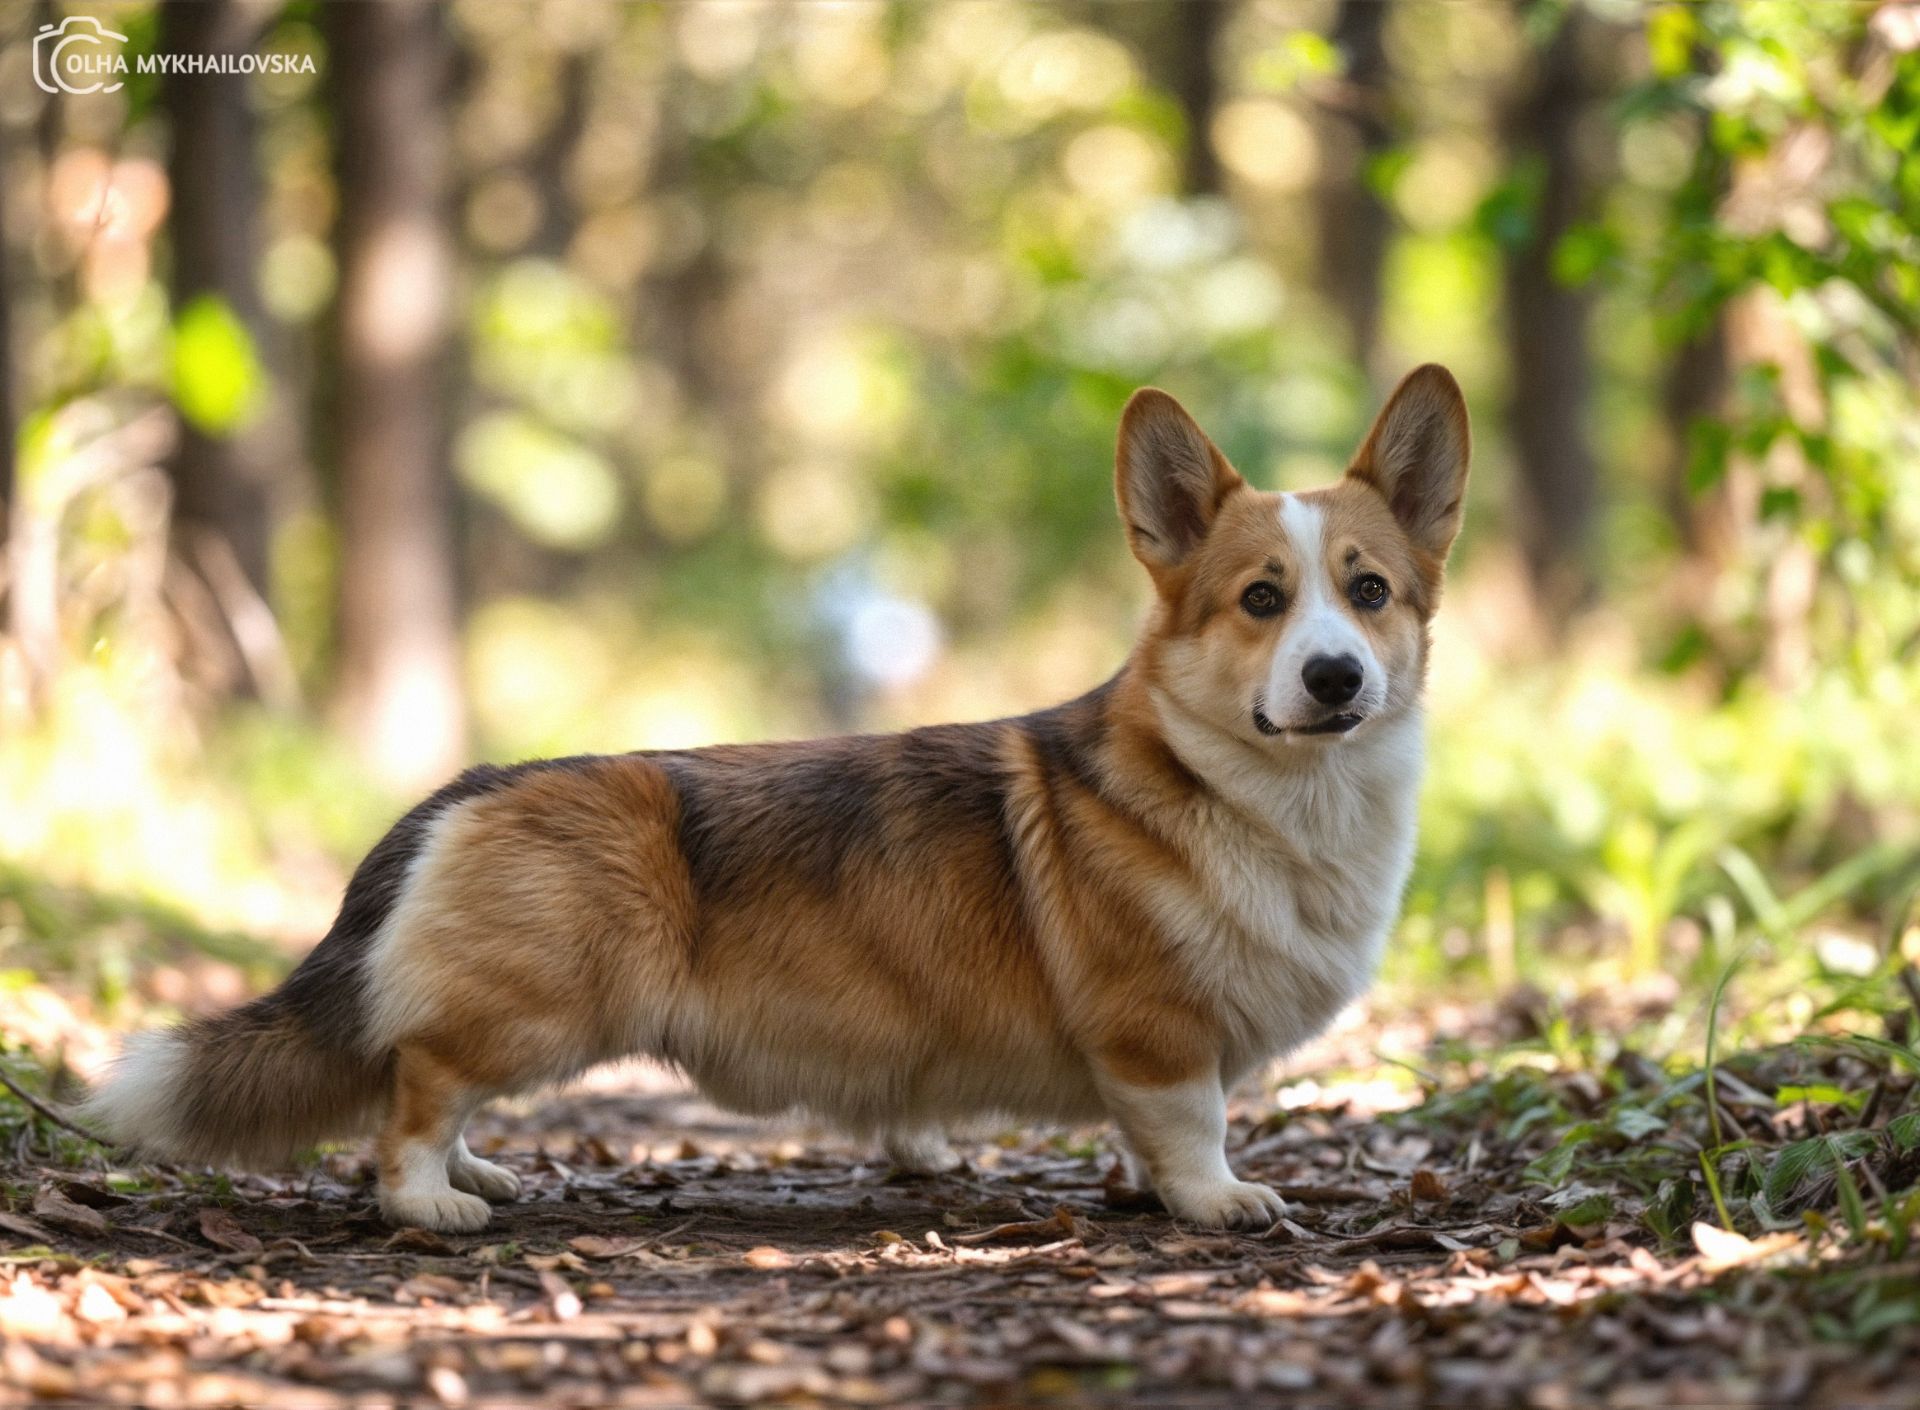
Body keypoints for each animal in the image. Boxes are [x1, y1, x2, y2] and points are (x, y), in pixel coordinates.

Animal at [82, 366, 1466, 1237]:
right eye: (1260, 600)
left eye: (1370, 591)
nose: (1336, 678)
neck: (1265, 795)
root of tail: (463, 793)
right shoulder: (1158, 1033)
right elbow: (1193, 1126)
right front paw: (1221, 1200)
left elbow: (1151, 1136)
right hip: (538, 1011)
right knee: (414, 1085)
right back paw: (432, 1199)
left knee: (417, 1078)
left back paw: (483, 1170)